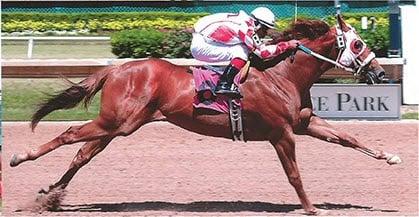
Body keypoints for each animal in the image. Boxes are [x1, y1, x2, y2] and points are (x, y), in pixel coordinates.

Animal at [9, 14, 402, 214]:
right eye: (357, 44)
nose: (381, 74)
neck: (282, 75)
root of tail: (118, 69)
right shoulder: (281, 133)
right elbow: (294, 174)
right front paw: (311, 209)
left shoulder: (304, 123)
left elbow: (348, 138)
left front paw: (391, 156)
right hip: (118, 122)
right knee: (70, 135)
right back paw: (20, 158)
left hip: (119, 125)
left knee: (82, 152)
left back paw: (50, 196)